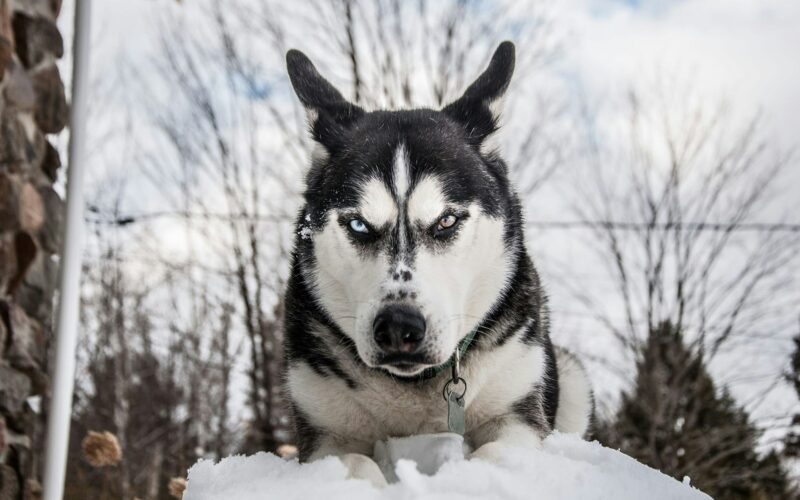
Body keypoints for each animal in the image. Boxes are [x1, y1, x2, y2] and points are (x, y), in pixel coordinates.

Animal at [284, 41, 592, 486]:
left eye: (446, 221)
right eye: (358, 224)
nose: (398, 327)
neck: (414, 389)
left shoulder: (516, 416)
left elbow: (495, 455)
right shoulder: (326, 432)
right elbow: (353, 464)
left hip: (571, 376)